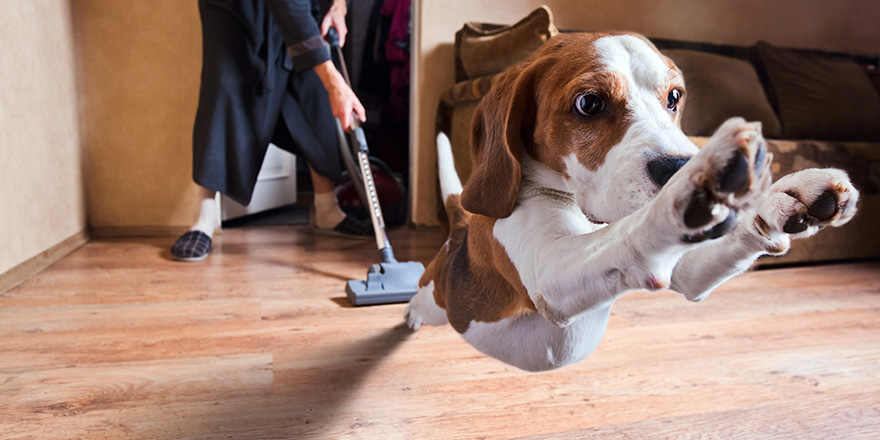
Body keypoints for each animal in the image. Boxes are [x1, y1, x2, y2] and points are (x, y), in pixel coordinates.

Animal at [406, 32, 860, 372]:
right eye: (589, 103)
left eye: (674, 97)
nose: (680, 165)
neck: (578, 210)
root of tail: (459, 232)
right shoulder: (550, 272)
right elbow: (632, 229)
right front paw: (693, 189)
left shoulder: (684, 269)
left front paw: (783, 195)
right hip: (437, 298)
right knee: (421, 296)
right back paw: (410, 313)